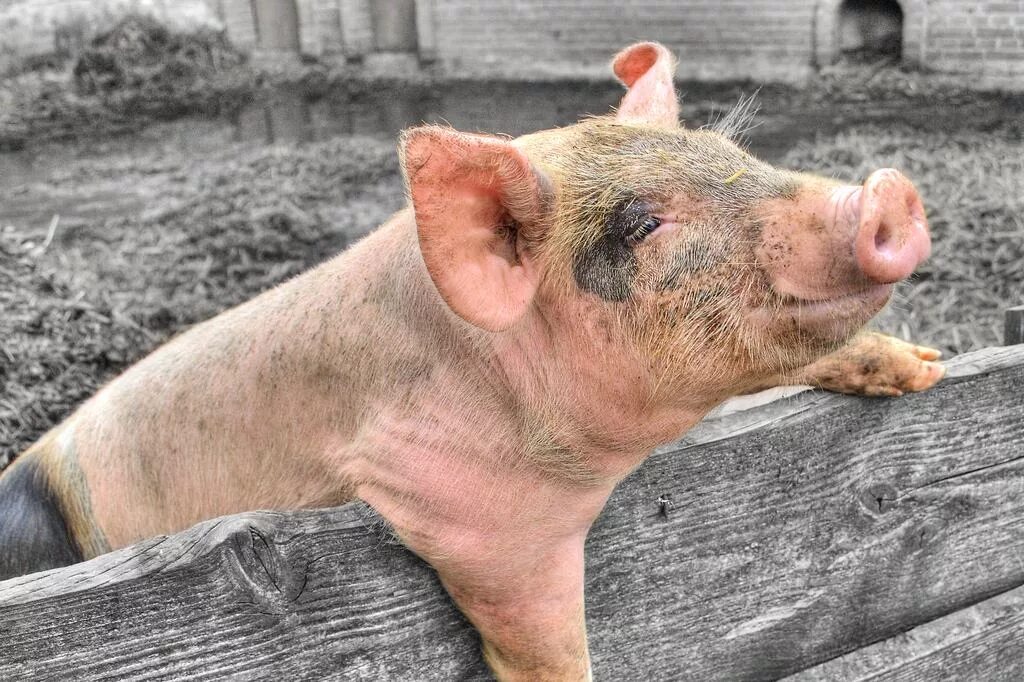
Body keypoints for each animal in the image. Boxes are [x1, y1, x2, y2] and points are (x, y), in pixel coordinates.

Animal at [0, 42, 943, 680]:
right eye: (642, 223)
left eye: (737, 157)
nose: (887, 191)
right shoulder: (482, 527)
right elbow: (551, 648)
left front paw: (926, 367)